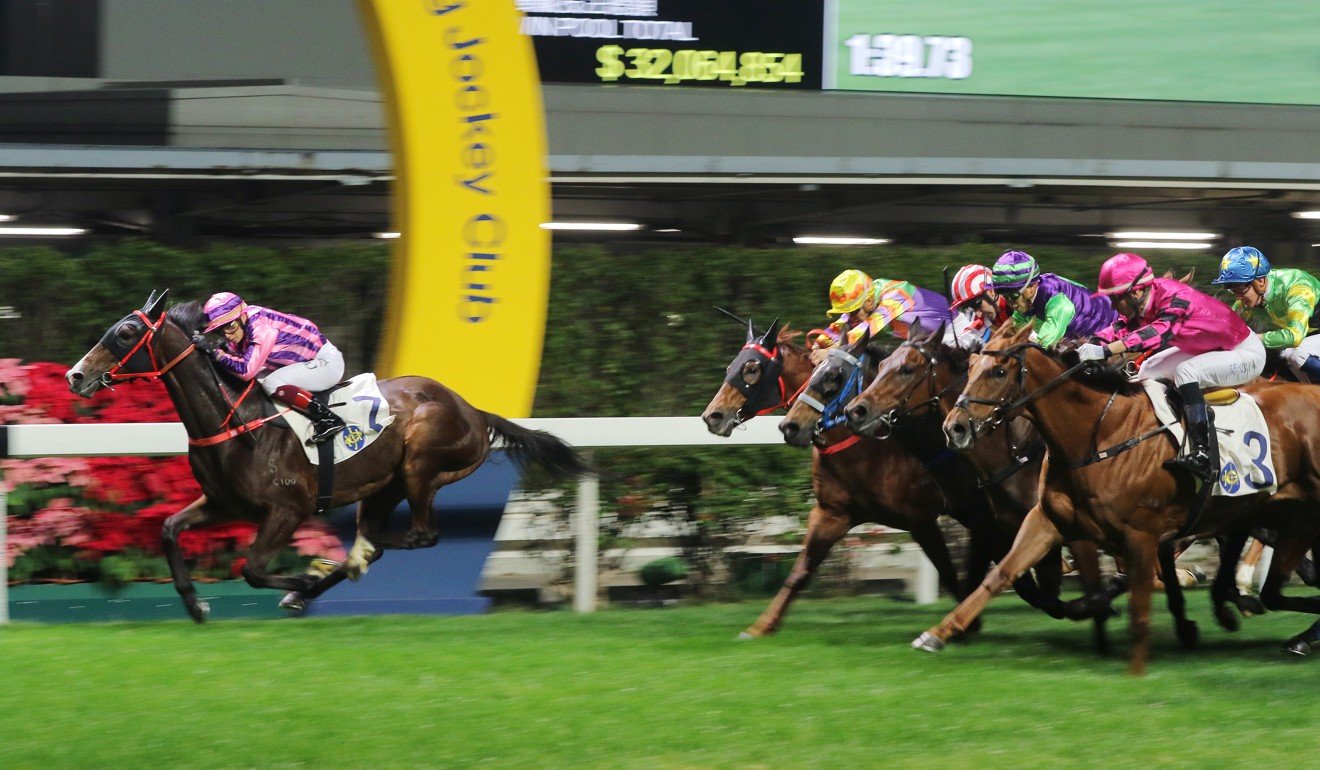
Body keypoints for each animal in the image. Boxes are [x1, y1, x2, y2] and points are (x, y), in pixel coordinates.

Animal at [64, 291, 591, 623]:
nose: (75, 376)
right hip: (383, 487)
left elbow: (252, 569)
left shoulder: (288, 508)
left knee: (413, 536)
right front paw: (196, 605)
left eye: (126, 333)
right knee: (380, 537)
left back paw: (333, 569)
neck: (233, 421)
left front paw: (301, 577)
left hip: (421, 466)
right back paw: (327, 576)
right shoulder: (222, 503)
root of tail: (473, 411)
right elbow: (170, 530)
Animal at [702, 318, 971, 639]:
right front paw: (760, 627)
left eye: (751, 369)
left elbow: (950, 570)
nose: (712, 416)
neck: (866, 445)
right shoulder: (832, 513)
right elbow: (800, 571)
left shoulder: (921, 518)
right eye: (730, 367)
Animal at [924, 322, 1320, 670]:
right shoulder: (1048, 520)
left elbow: (1124, 588)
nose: (954, 428)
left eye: (999, 371)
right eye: (970, 368)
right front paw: (937, 633)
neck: (1097, 434)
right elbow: (1003, 573)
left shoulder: (1140, 532)